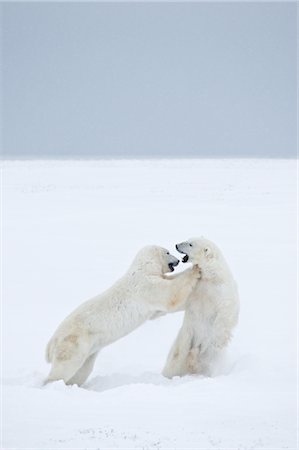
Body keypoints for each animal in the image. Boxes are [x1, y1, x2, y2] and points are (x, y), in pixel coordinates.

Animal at [45, 246, 200, 386]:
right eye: (167, 252)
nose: (178, 260)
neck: (143, 268)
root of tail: (52, 341)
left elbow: (161, 309)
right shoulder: (145, 286)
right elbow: (170, 295)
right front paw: (195, 270)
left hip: (89, 351)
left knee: (81, 371)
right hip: (75, 341)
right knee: (66, 367)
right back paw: (52, 383)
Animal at [163, 237, 240, 378]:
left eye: (190, 244)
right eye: (188, 239)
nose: (176, 245)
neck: (211, 275)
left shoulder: (222, 289)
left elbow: (227, 309)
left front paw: (217, 336)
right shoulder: (197, 287)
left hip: (207, 353)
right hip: (184, 340)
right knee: (176, 359)